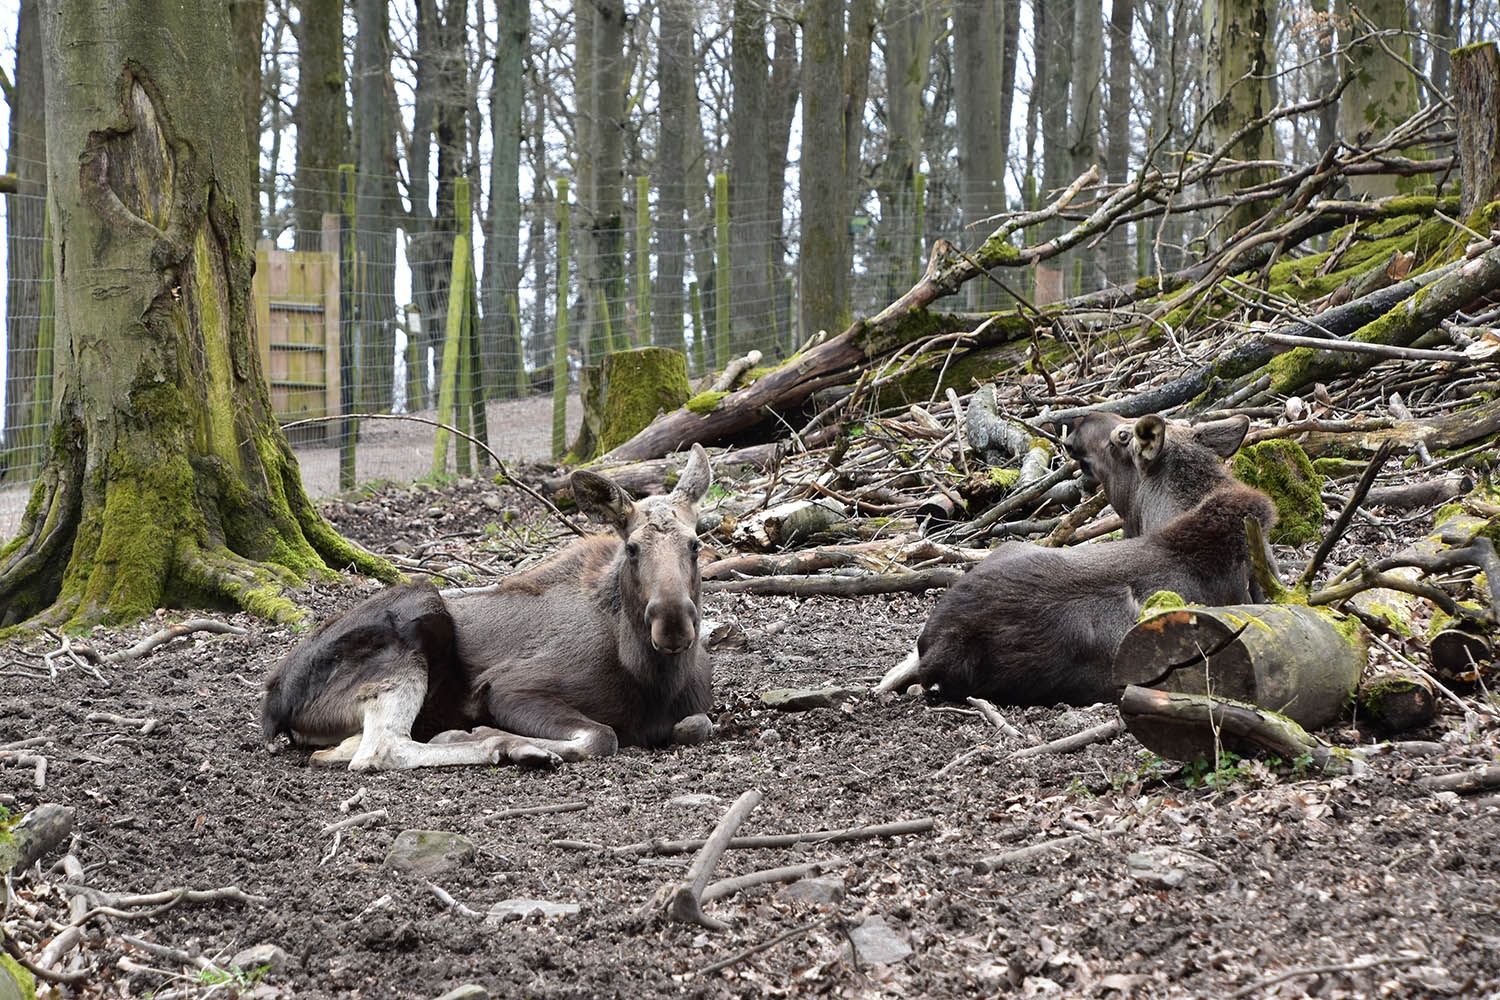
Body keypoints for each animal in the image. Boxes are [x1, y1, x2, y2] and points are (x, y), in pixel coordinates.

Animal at [260, 444, 715, 771]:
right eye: (633, 548)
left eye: (695, 545)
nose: (673, 624)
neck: (652, 676)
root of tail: (273, 703)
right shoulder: (507, 688)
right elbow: (602, 735)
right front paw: (494, 737)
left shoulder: (695, 711)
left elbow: (698, 724)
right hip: (418, 609)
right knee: (381, 750)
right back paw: (496, 744)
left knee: (340, 751)